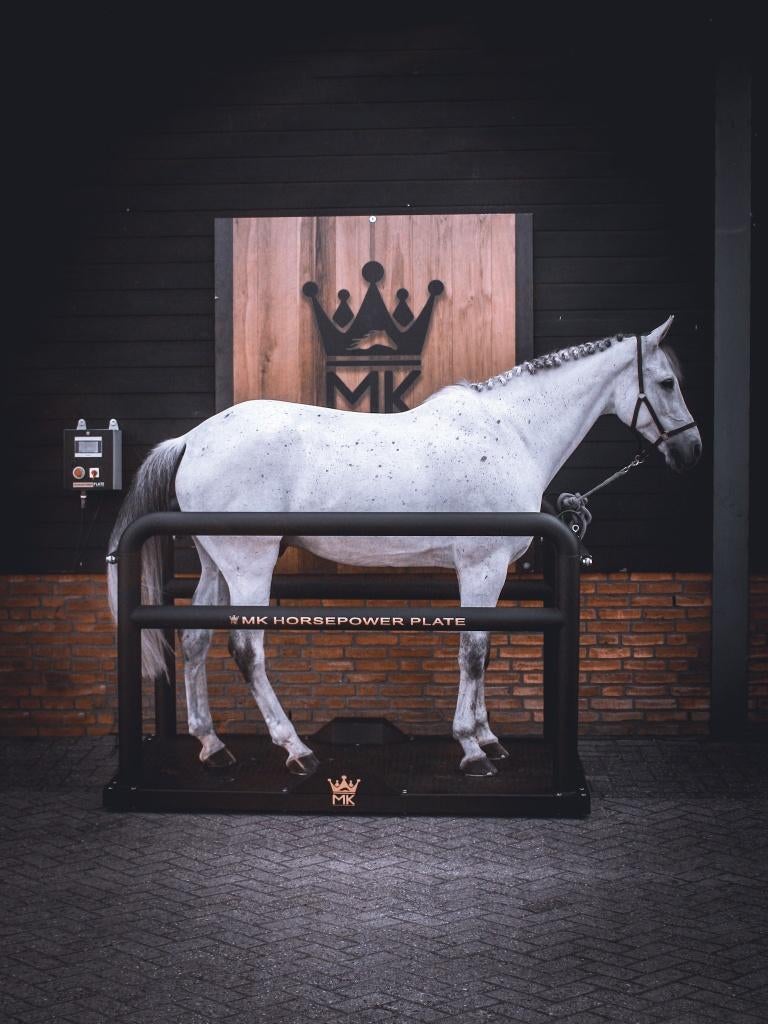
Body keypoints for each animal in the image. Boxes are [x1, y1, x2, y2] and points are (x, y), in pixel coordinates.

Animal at [107, 317, 701, 777]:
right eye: (668, 382)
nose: (691, 450)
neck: (511, 432)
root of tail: (193, 439)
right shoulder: (481, 568)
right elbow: (474, 652)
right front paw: (471, 748)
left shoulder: (488, 575)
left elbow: (484, 650)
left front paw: (489, 738)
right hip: (250, 567)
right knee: (247, 650)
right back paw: (297, 751)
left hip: (217, 565)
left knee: (195, 641)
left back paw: (212, 746)